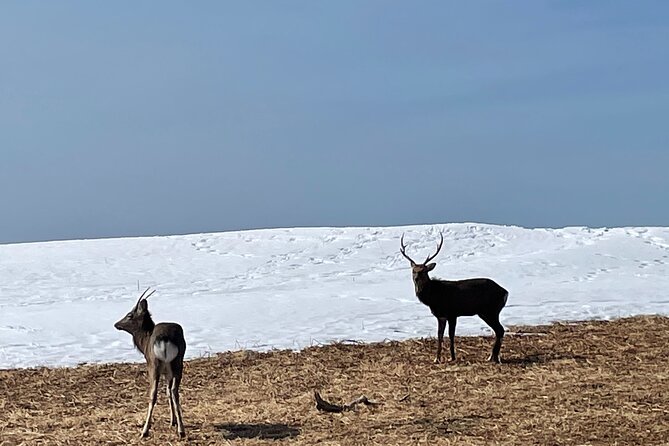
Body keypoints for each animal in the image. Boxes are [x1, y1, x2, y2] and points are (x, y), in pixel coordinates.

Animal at [112, 290, 185, 440]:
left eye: (129, 315)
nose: (116, 324)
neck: (144, 340)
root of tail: (164, 339)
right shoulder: (167, 372)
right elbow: (168, 391)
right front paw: (173, 421)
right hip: (177, 362)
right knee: (174, 391)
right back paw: (181, 430)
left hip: (154, 365)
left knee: (153, 394)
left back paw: (145, 431)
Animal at [400, 233, 508, 362]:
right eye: (413, 270)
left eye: (424, 271)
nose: (416, 278)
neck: (433, 297)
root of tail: (505, 292)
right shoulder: (441, 316)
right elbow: (440, 335)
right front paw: (437, 359)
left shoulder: (452, 313)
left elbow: (451, 335)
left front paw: (452, 357)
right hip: (488, 312)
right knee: (499, 330)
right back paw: (493, 357)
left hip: (490, 310)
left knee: (500, 330)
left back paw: (492, 357)